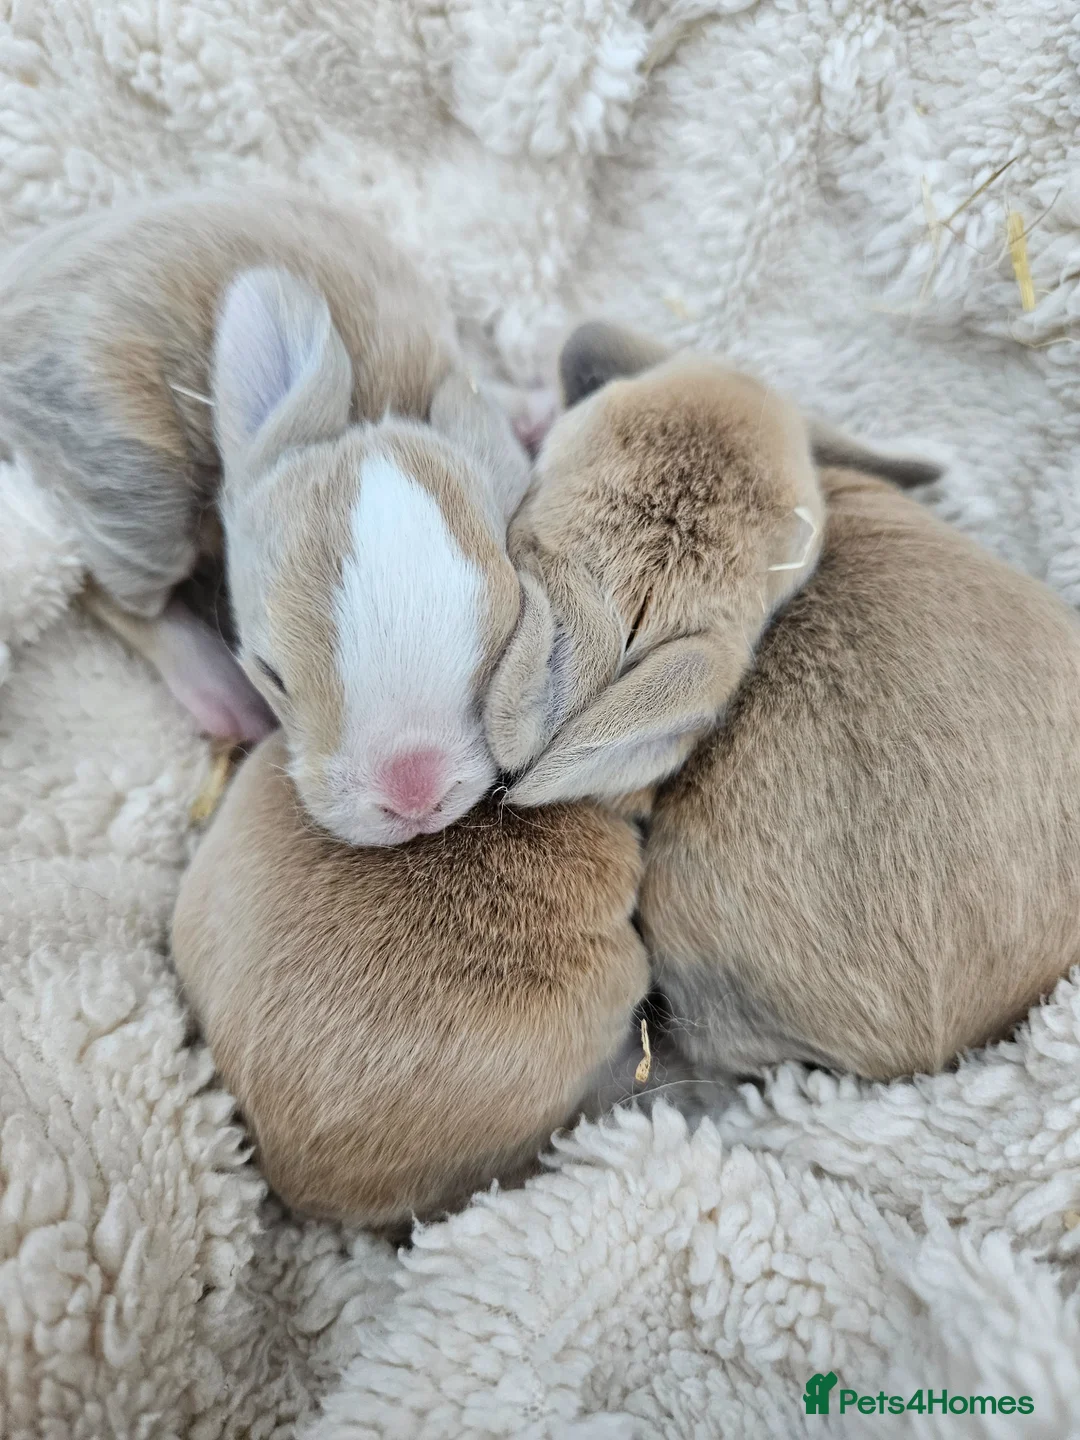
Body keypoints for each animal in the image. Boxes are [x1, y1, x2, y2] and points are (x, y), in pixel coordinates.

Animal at [0, 190, 532, 846]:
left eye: (503, 646)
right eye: (270, 672)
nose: (412, 797)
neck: (368, 411)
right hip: (131, 494)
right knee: (106, 589)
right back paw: (221, 694)